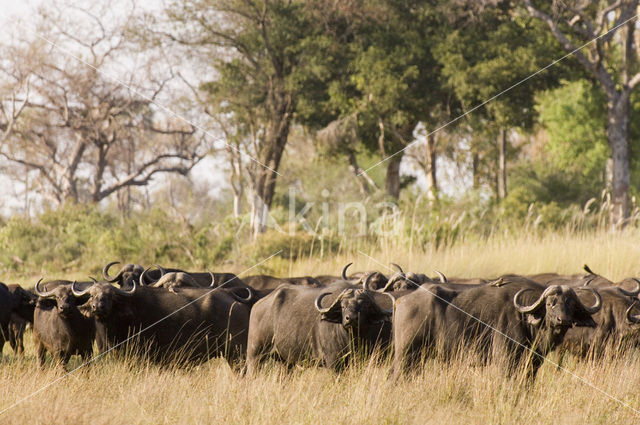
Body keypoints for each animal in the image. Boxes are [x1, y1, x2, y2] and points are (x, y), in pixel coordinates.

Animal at [246, 278, 392, 374]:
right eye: (343, 306)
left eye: (365, 306)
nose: (351, 318)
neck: (351, 338)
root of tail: (257, 305)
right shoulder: (333, 363)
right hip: (254, 356)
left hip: (286, 362)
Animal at [392, 276, 604, 376]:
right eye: (550, 303)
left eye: (571, 304)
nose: (563, 320)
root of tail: (402, 301)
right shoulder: (505, 360)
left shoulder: (533, 363)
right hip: (405, 355)